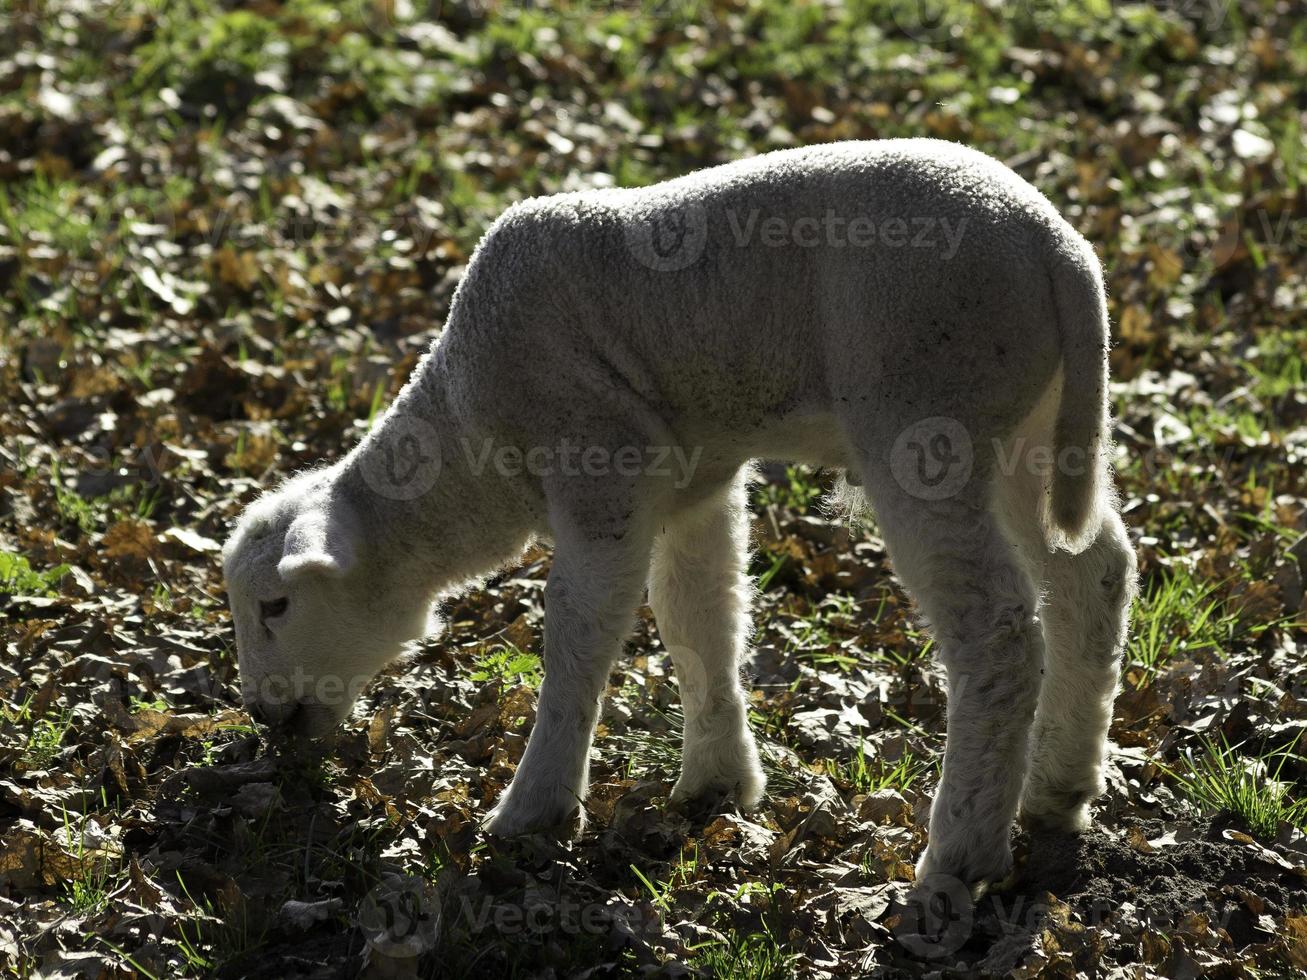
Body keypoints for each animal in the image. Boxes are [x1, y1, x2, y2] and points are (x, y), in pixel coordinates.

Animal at [222, 139, 1134, 898]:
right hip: (1029, 423)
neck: (471, 432)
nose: (263, 715)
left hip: (926, 409)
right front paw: (718, 782)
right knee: (1094, 572)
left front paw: (535, 811)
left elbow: (580, 636)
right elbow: (701, 614)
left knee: (997, 632)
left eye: (276, 605)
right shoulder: (695, 479)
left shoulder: (599, 462)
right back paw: (1058, 790)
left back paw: (959, 853)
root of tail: (1062, 254)